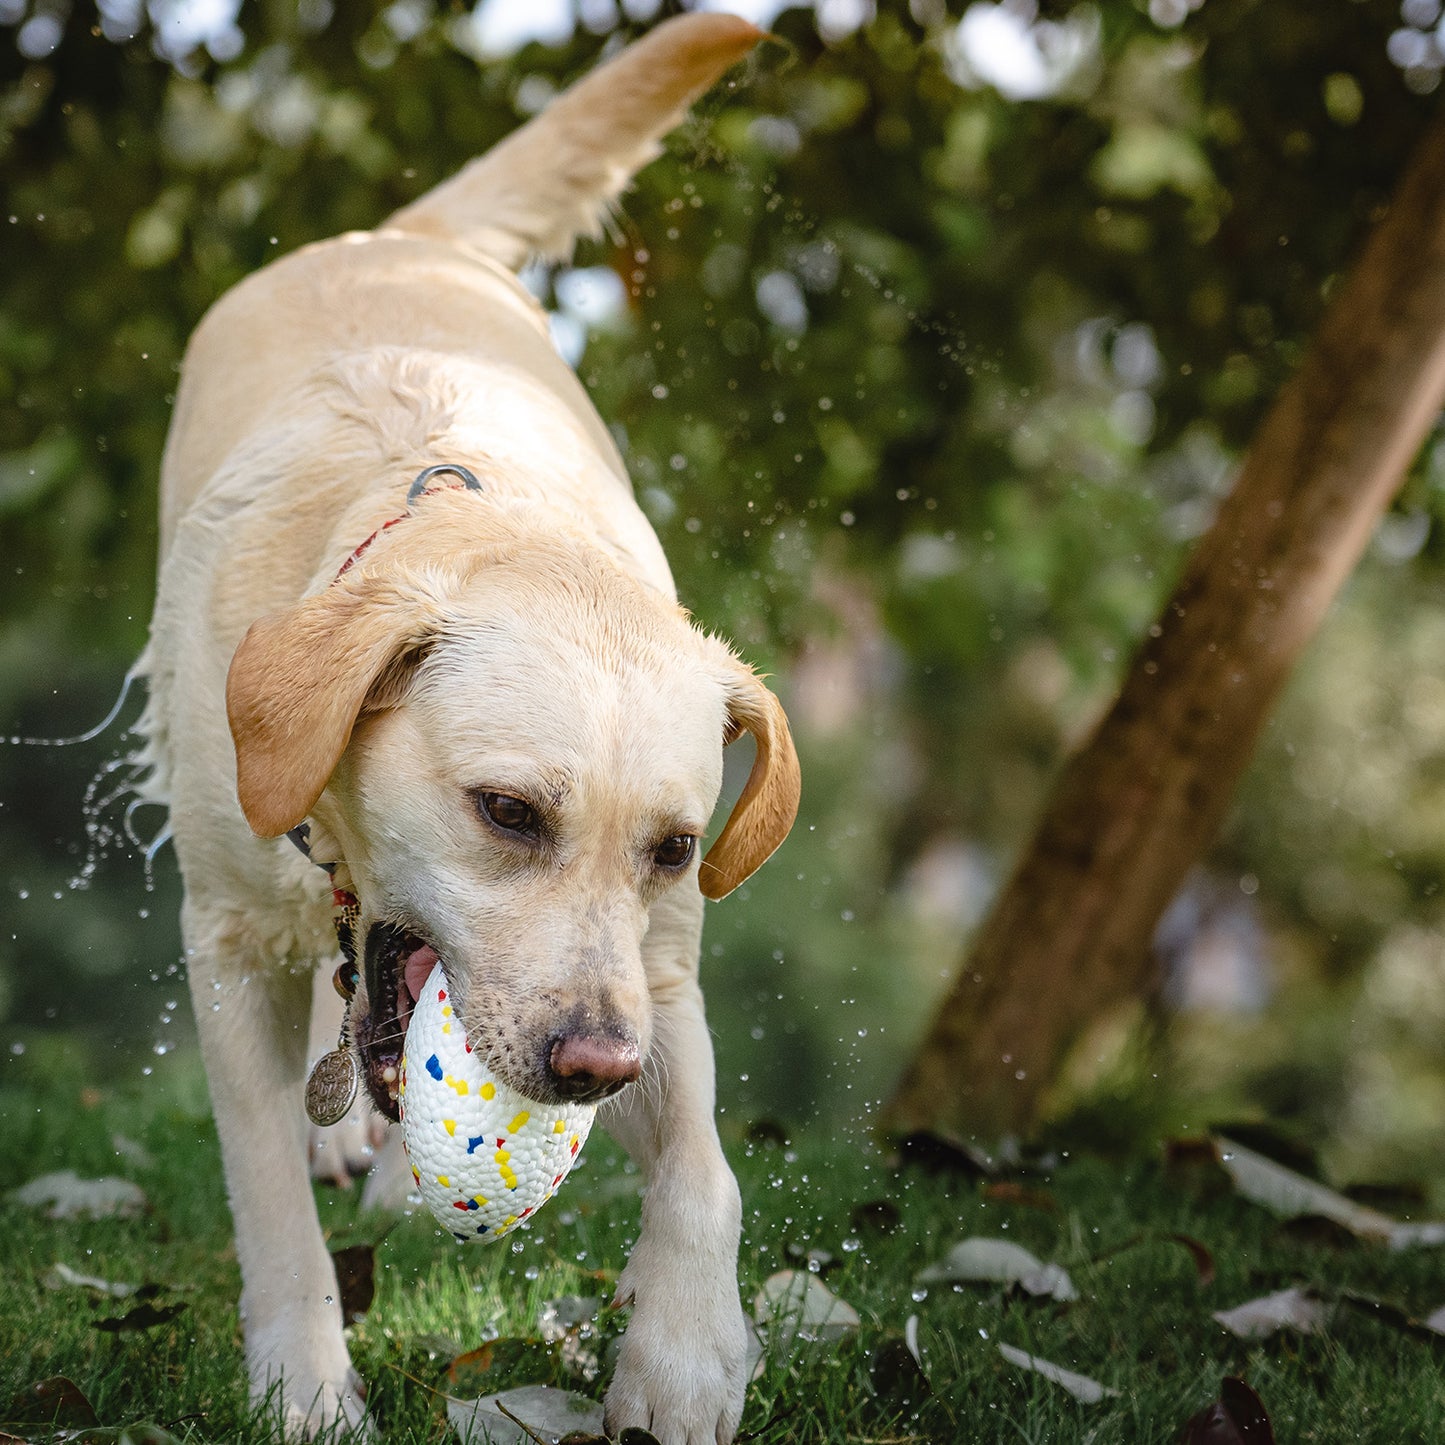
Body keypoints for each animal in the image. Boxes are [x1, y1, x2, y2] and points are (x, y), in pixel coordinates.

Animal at [136, 14, 803, 1445]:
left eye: (675, 847)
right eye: (506, 811)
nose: (596, 1067)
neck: (454, 514)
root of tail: (398, 233)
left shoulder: (656, 971)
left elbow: (708, 1172)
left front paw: (684, 1356)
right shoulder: (225, 938)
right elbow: (266, 1193)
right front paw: (305, 1385)